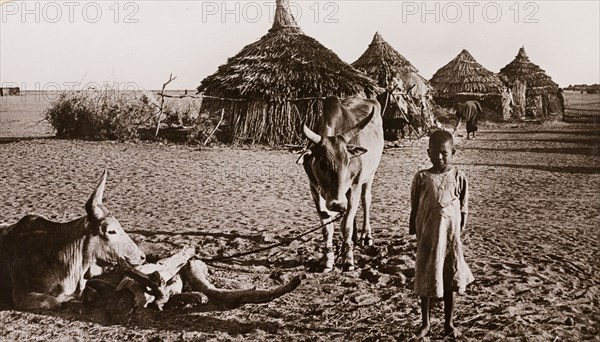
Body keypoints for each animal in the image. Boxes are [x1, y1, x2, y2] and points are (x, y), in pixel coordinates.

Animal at [296, 96, 384, 272]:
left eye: (348, 161)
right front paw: (327, 260)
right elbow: (327, 228)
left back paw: (365, 235)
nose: (337, 204)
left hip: (369, 176)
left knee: (366, 200)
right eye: (323, 163)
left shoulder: (355, 185)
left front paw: (348, 259)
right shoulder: (314, 189)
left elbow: (346, 225)